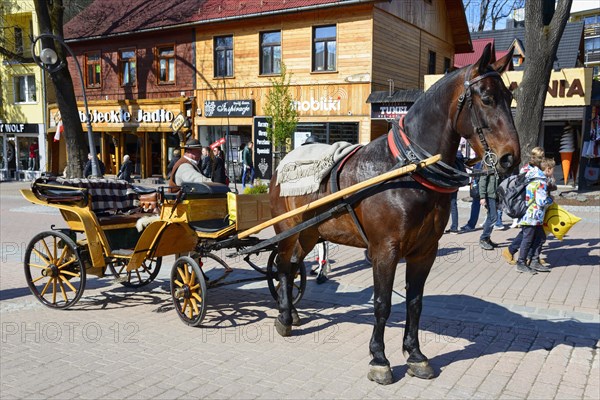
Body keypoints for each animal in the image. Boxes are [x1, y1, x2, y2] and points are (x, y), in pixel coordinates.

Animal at [270, 43, 516, 384]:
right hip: (287, 231)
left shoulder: (425, 250)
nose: (511, 158)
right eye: (487, 98)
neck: (407, 169)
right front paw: (379, 359)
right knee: (282, 267)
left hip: (309, 233)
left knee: (293, 267)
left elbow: (414, 303)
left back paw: (292, 312)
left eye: (509, 98)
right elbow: (382, 303)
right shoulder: (385, 251)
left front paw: (415, 355)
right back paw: (283, 317)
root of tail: (282, 163)